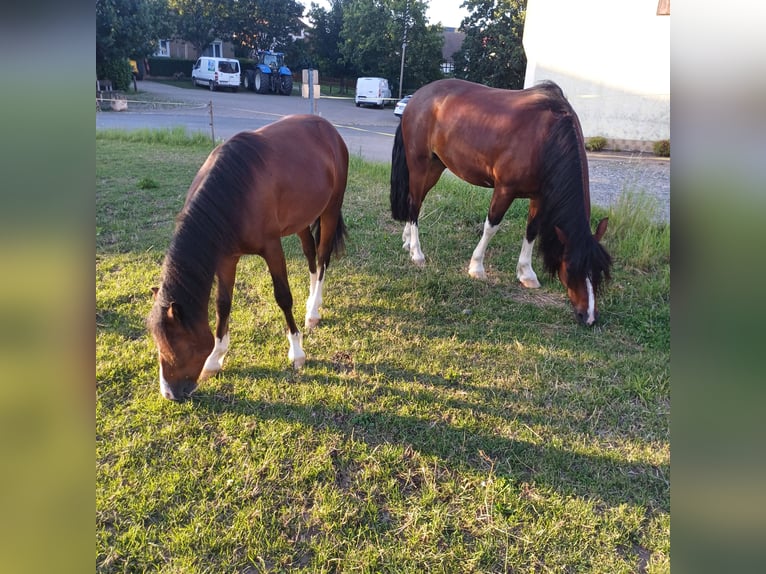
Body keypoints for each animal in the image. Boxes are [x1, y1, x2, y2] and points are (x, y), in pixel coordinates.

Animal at [148, 115, 352, 402]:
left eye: (178, 344)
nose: (170, 393)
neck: (234, 193)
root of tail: (329, 129)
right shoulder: (226, 258)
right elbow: (223, 304)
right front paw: (215, 359)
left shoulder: (272, 248)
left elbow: (283, 297)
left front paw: (297, 352)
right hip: (302, 219)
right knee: (311, 256)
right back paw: (313, 301)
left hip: (331, 210)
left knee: (322, 258)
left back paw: (313, 312)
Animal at [392, 79, 616, 326]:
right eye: (572, 268)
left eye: (599, 272)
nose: (589, 317)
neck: (545, 138)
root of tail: (417, 97)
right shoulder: (505, 190)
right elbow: (491, 227)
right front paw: (476, 268)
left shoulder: (538, 196)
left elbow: (531, 231)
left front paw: (526, 273)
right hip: (420, 164)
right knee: (414, 204)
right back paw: (417, 253)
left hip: (436, 165)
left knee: (415, 201)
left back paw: (407, 241)